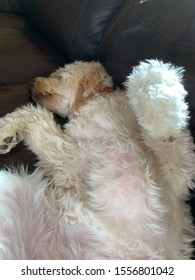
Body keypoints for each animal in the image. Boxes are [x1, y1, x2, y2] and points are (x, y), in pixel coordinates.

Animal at [0, 60, 194, 260]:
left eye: (59, 76)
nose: (31, 84)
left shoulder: (178, 177)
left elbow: (168, 137)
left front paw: (154, 77)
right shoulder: (71, 159)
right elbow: (33, 114)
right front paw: (6, 131)